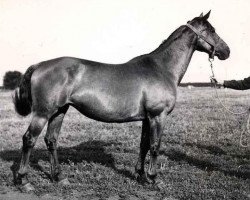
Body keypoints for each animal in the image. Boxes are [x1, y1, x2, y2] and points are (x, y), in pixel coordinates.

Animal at [13, 10, 229, 191]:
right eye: (211, 30)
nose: (227, 51)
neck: (161, 68)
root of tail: (39, 65)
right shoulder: (158, 116)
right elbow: (155, 146)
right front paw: (153, 179)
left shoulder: (147, 118)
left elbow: (144, 145)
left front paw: (140, 176)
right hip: (43, 113)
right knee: (29, 139)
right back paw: (23, 181)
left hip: (59, 111)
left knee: (51, 140)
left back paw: (58, 177)